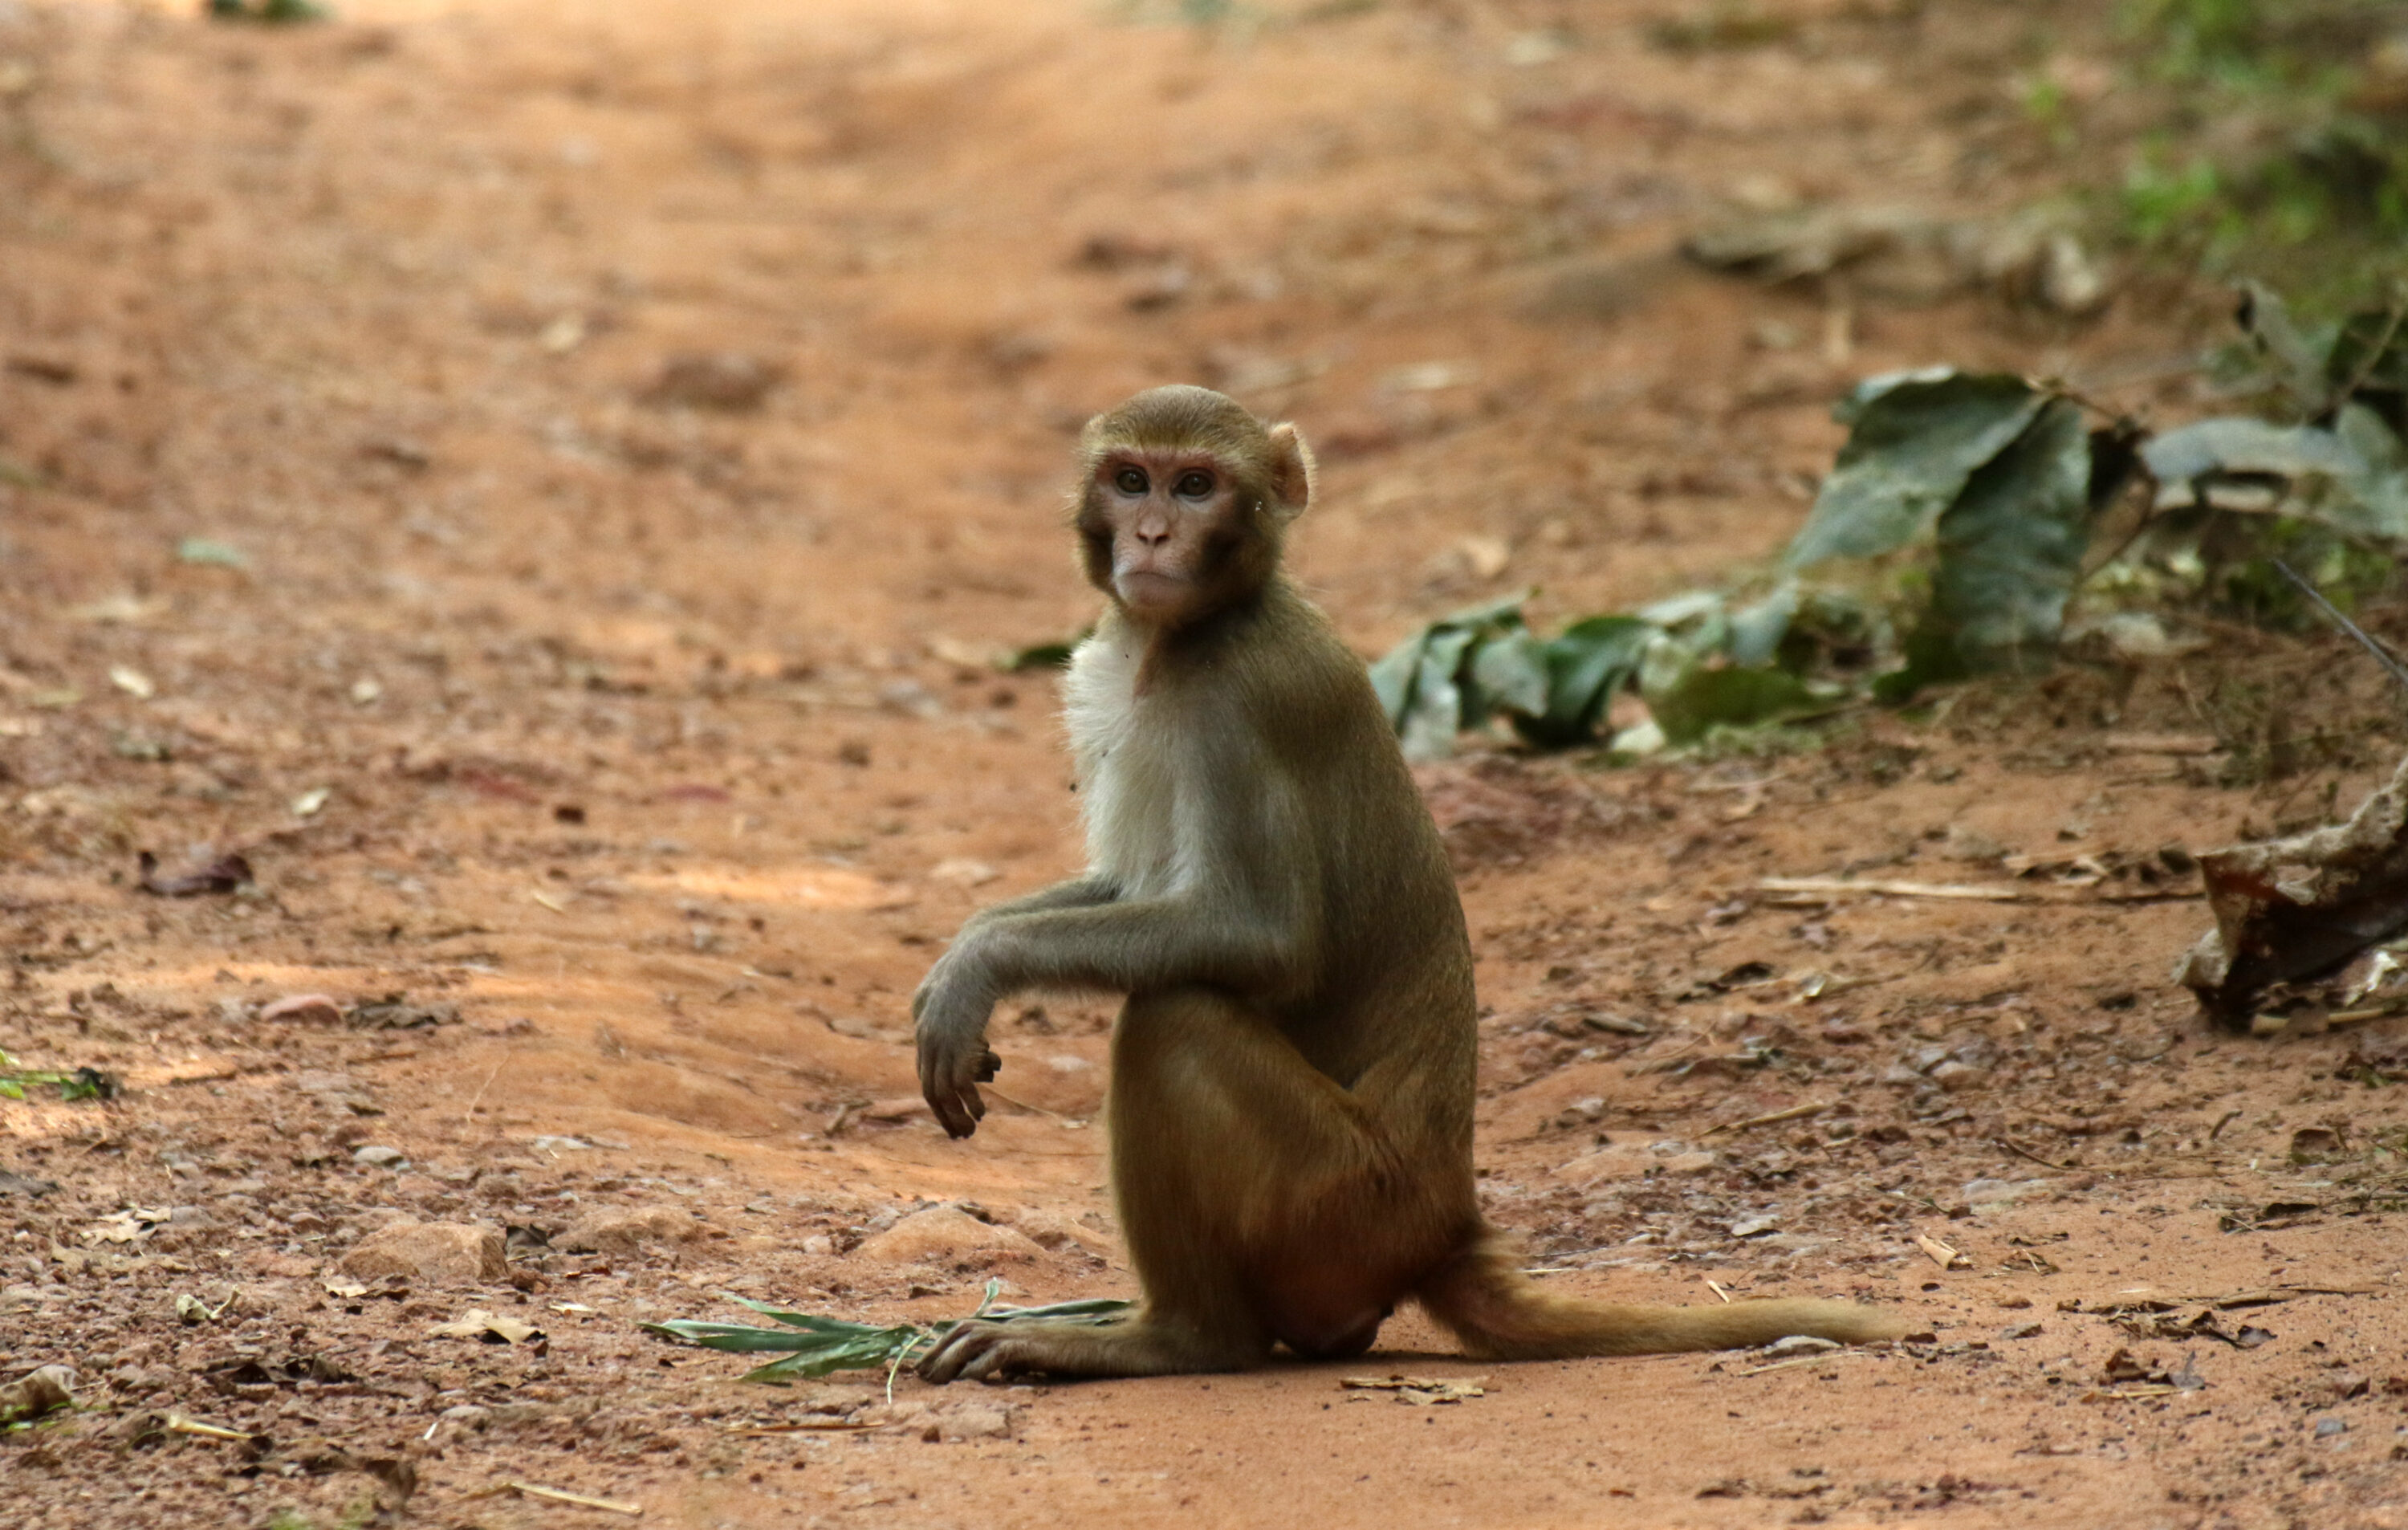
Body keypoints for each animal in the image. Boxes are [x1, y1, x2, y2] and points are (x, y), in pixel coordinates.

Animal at [911, 384, 1909, 1382]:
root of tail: (1445, 1227)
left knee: (1174, 1017)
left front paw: (979, 967)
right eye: (1130, 479)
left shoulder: (1246, 702)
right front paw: (967, 951)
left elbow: (1255, 935)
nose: (1152, 533)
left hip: (1337, 1201)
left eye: (1195, 486)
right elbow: (1134, 892)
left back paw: (1179, 1338)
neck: (1190, 633)